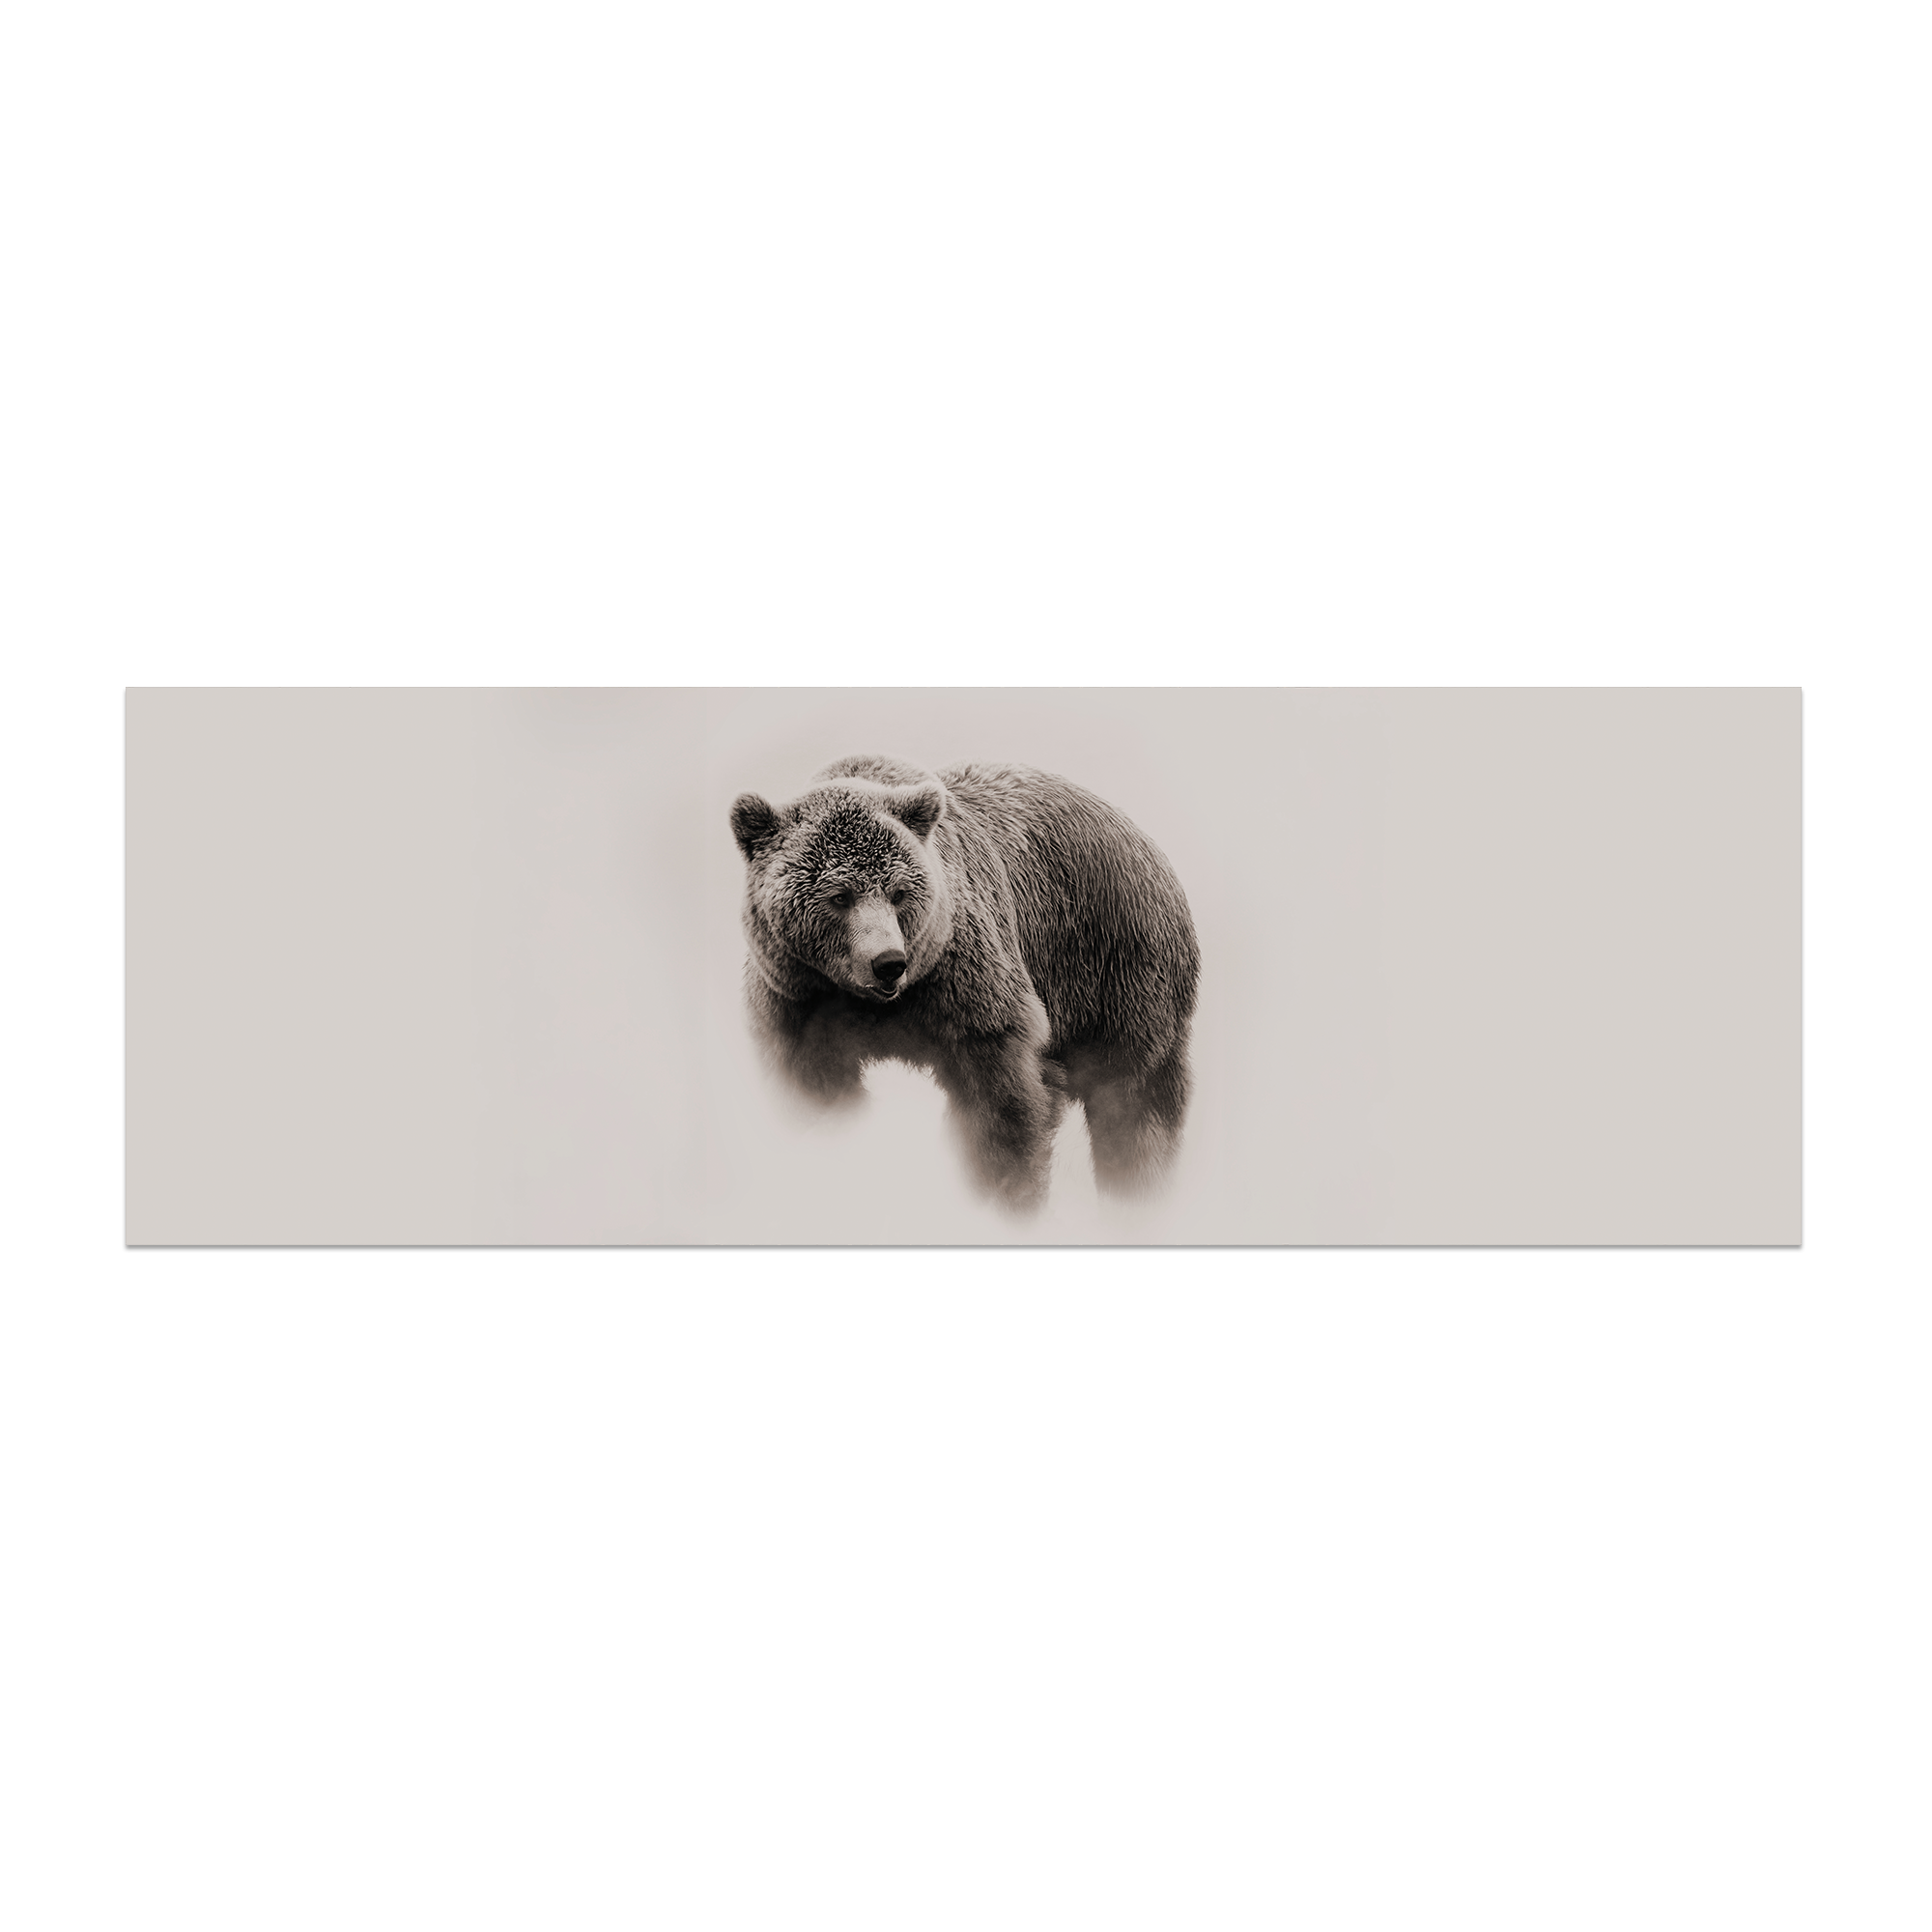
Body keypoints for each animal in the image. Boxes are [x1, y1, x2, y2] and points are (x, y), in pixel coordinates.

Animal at [728, 755, 1200, 1212]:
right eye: (840, 896)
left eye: (899, 892)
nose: (888, 963)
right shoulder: (794, 1002)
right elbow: (814, 1092)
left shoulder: (968, 988)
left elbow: (1002, 1104)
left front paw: (1005, 1191)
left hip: (1119, 967)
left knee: (1134, 1103)